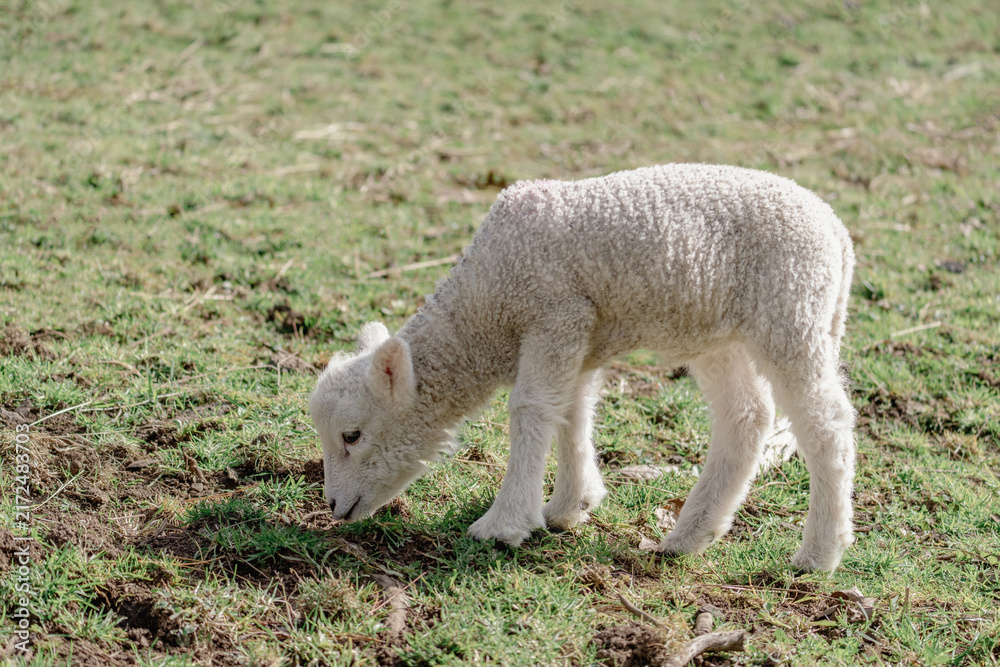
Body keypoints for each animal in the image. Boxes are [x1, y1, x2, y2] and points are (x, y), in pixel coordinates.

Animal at [310, 163, 856, 572]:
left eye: (352, 436)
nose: (334, 507)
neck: (486, 309)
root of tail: (837, 231)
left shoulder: (554, 313)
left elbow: (531, 409)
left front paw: (504, 524)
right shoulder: (581, 334)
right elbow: (571, 413)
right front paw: (570, 506)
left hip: (792, 313)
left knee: (826, 425)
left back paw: (819, 553)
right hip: (720, 335)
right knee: (746, 417)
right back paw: (690, 535)